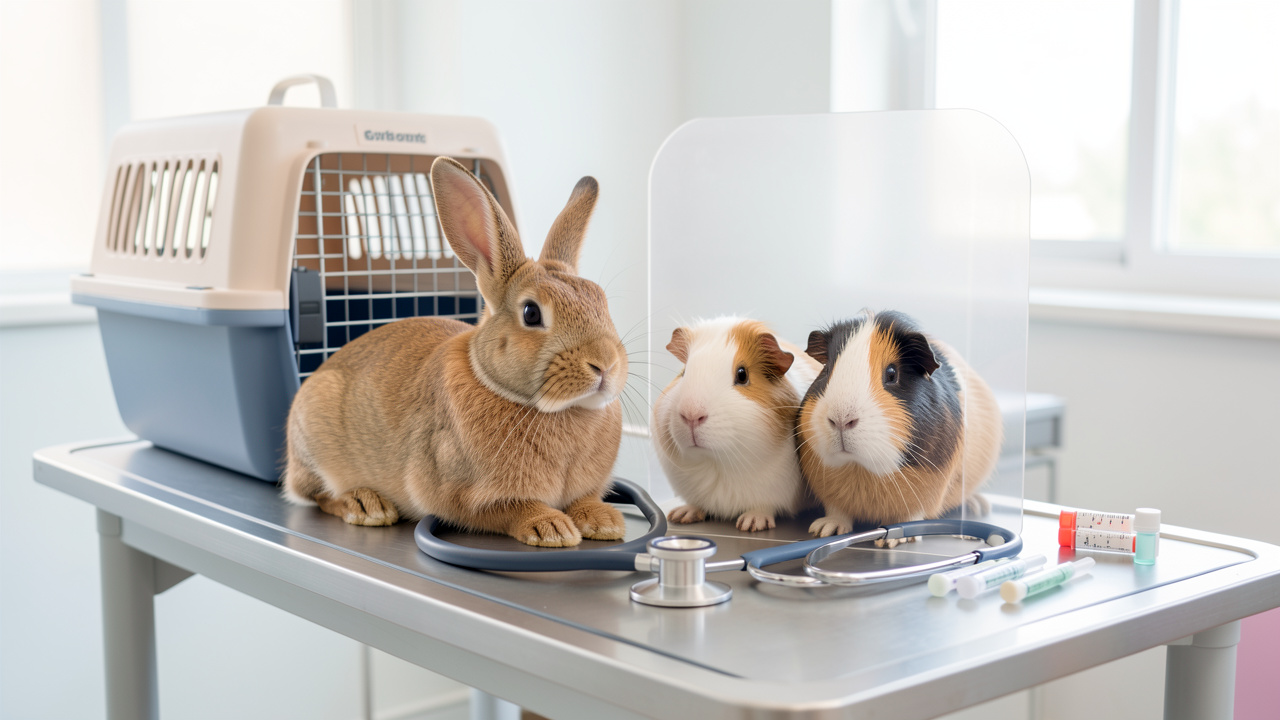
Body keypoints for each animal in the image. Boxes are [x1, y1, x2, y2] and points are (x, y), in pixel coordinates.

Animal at [282, 156, 628, 548]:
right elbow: (510, 509)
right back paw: (365, 504)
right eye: (531, 313)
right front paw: (551, 528)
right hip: (314, 443)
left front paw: (604, 522)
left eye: (600, 300)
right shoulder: (463, 495)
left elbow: (585, 500)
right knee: (318, 495)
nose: (605, 365)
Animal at [653, 317, 821, 531]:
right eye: (683, 373)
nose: (691, 415)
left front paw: (750, 524)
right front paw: (681, 516)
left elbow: (763, 507)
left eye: (742, 375)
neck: (717, 464)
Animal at [797, 310, 1001, 543]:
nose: (841, 420)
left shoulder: (924, 493)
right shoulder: (831, 493)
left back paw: (978, 506)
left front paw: (892, 540)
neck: (860, 468)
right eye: (827, 370)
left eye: (892, 374)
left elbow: (909, 515)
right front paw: (823, 530)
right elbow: (837, 512)